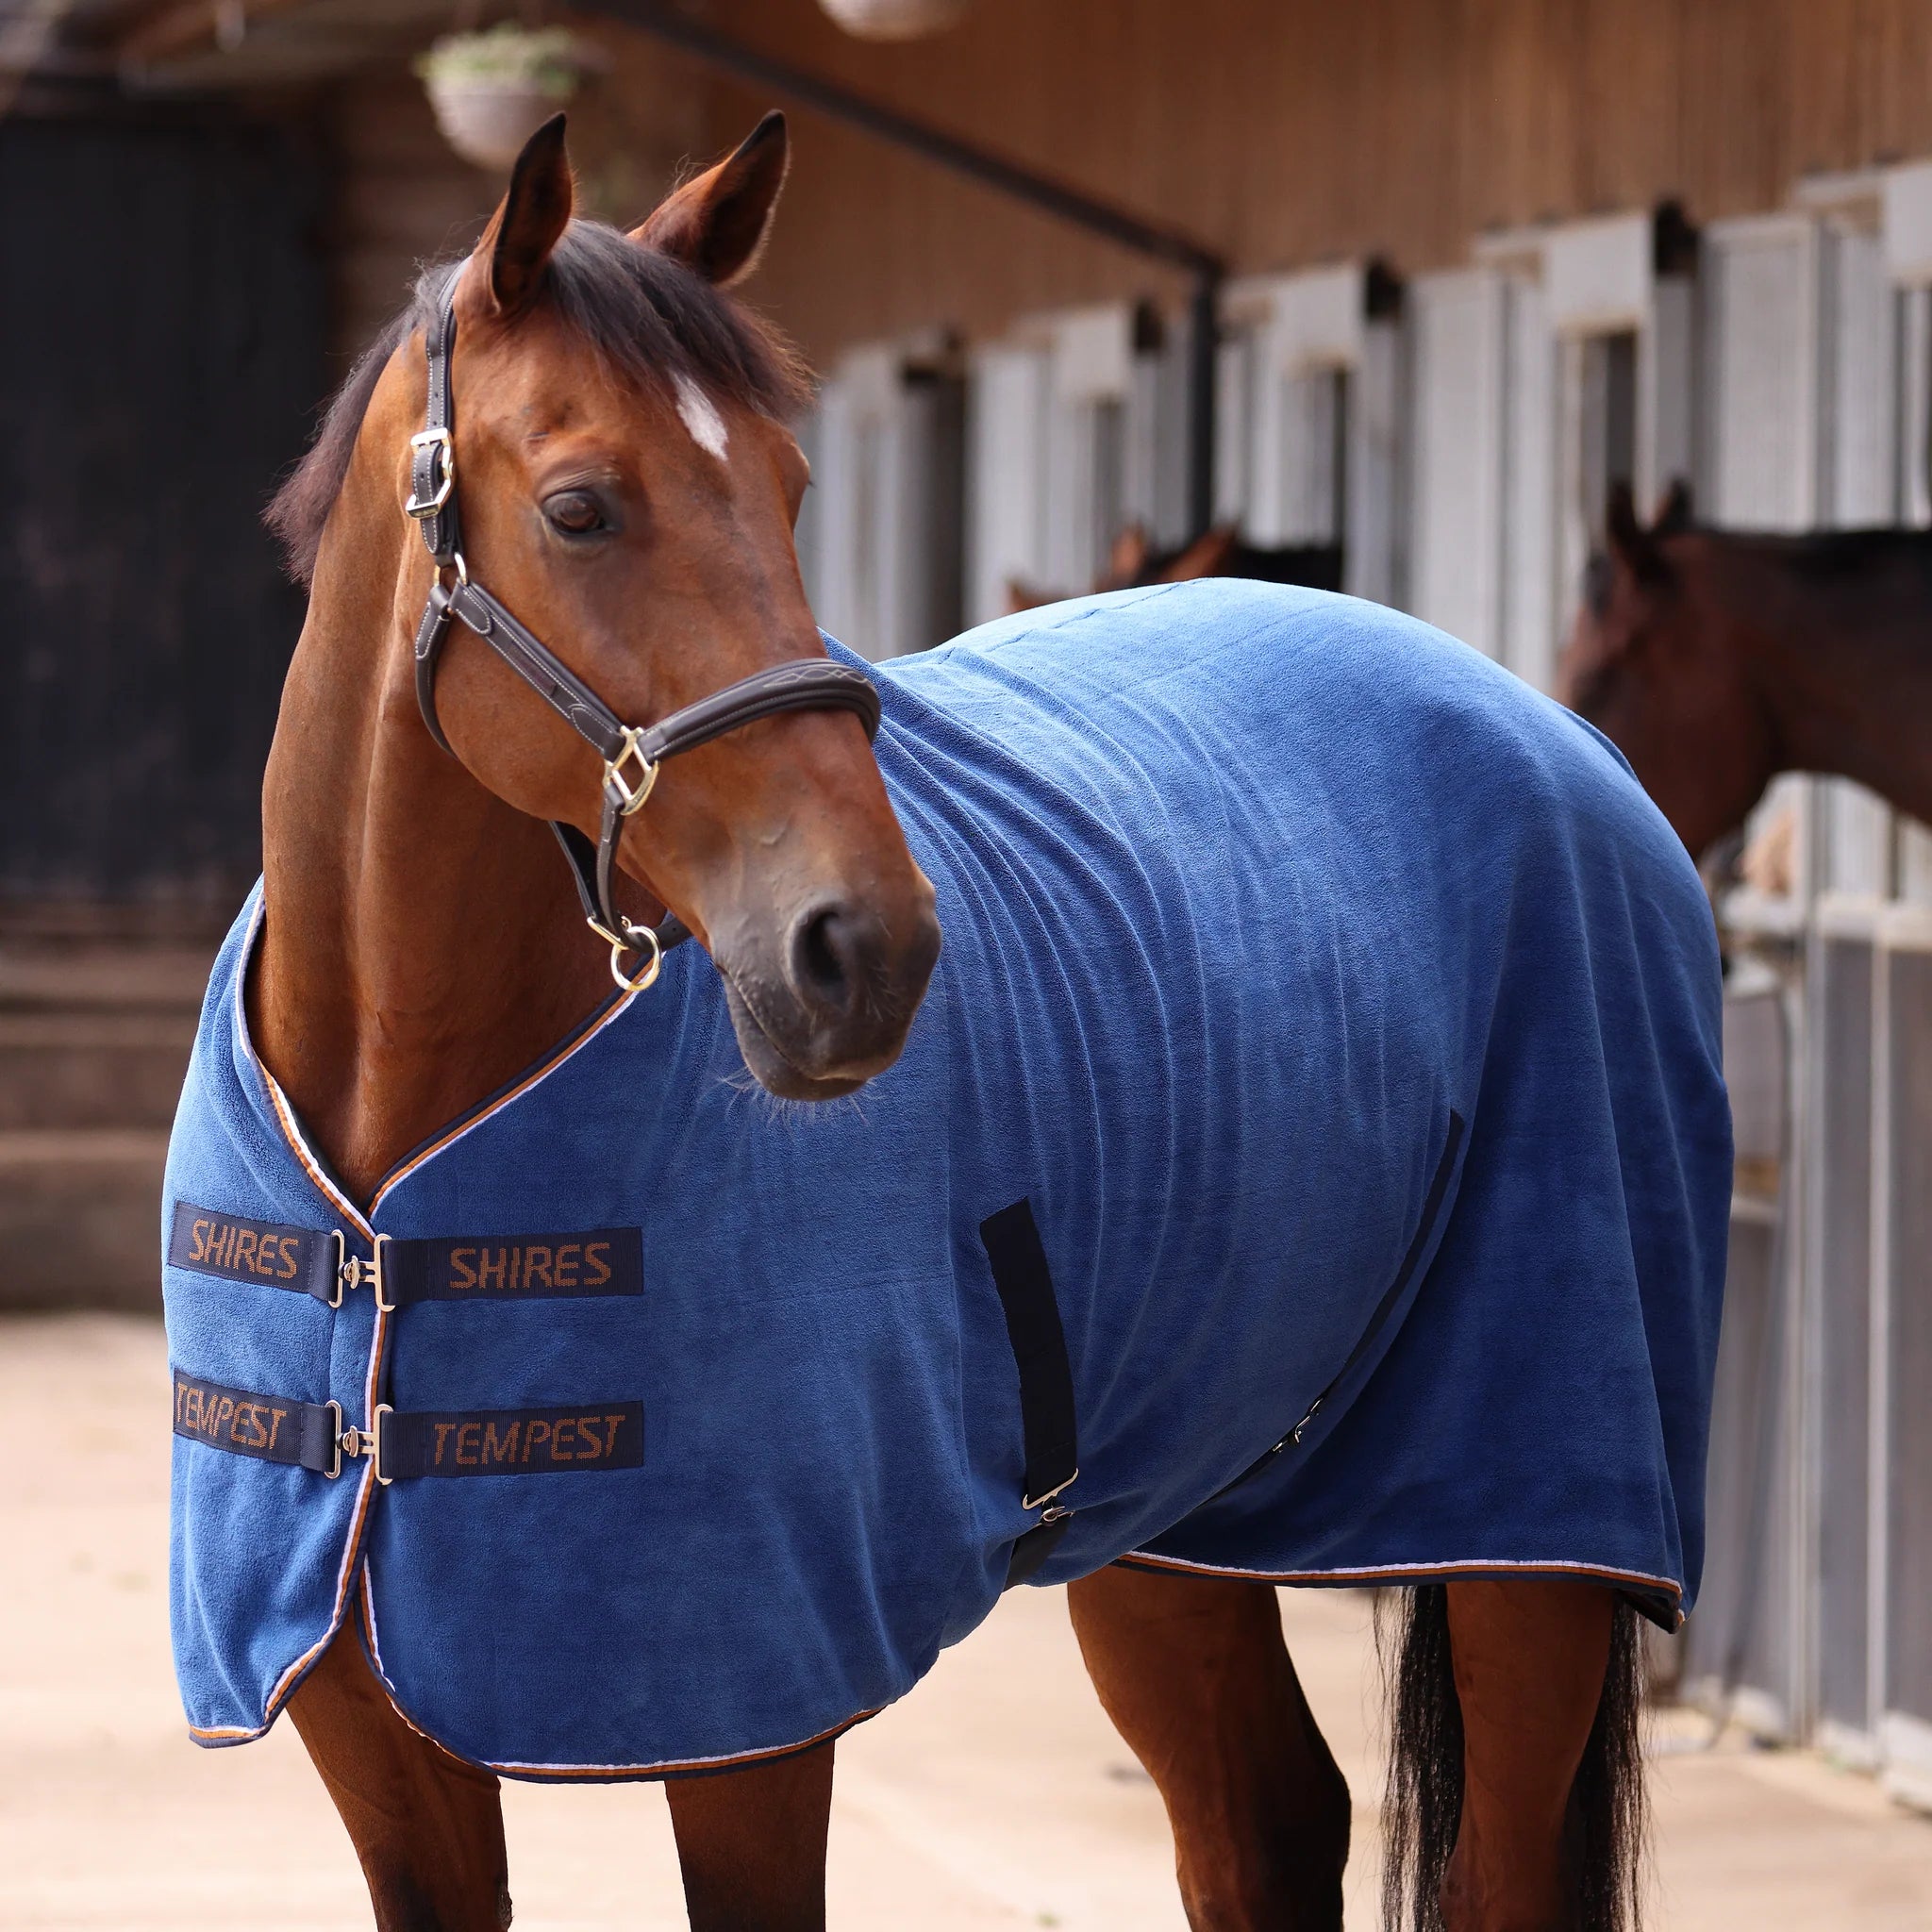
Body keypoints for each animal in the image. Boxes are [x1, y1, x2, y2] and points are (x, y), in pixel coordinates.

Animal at [159, 113, 1731, 1932]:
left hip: (1533, 1516)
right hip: (1174, 1514)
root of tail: (1548, 731)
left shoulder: (750, 1718)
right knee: (1266, 1821)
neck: (391, 1153)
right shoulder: (371, 1727)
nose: (869, 948)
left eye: (789, 485)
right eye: (579, 506)